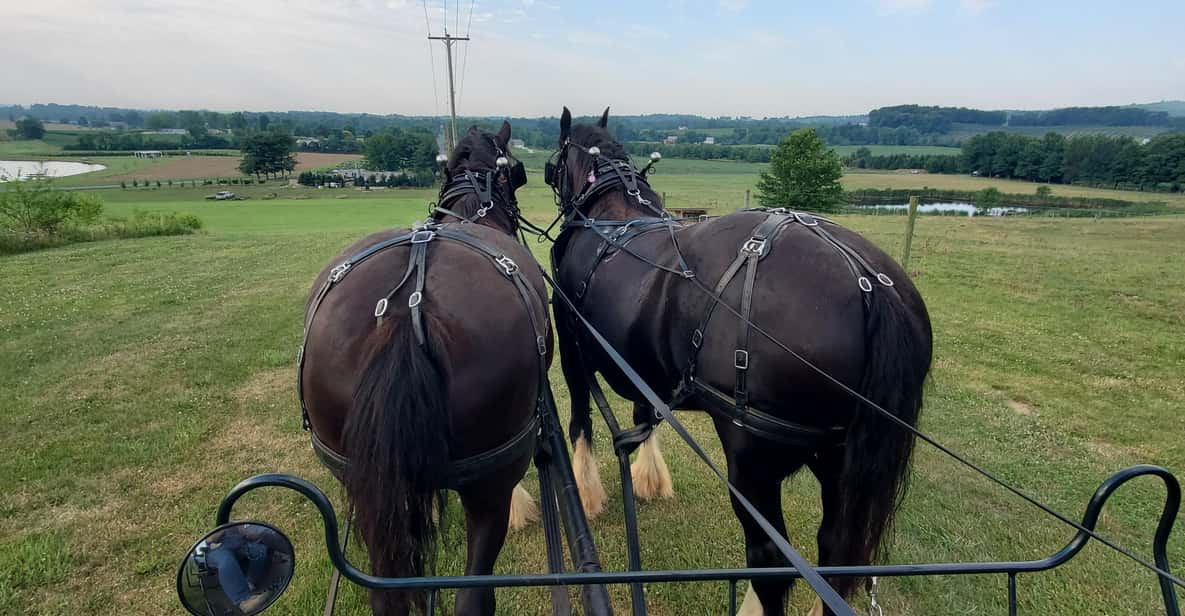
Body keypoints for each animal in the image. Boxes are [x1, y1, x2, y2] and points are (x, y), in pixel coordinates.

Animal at [547, 108, 933, 611]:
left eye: (556, 159)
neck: (609, 213)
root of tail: (868, 282)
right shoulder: (642, 367)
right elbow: (642, 414)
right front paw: (649, 478)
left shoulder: (573, 352)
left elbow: (580, 422)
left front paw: (588, 491)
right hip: (837, 458)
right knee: (832, 551)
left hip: (752, 464)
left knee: (768, 561)